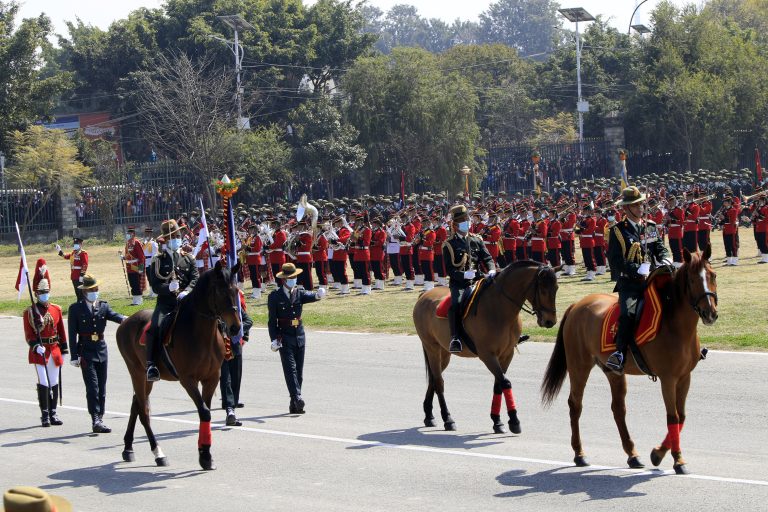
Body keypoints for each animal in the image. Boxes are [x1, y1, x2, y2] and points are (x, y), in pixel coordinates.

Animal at [116, 262, 240, 470]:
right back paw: (158, 453)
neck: (201, 334)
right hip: (137, 372)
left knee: (136, 405)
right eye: (221, 292)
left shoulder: (212, 378)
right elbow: (204, 412)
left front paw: (205, 454)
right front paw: (205, 455)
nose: (236, 328)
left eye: (236, 290)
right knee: (143, 412)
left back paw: (128, 448)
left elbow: (205, 412)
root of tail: (125, 322)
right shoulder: (187, 380)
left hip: (146, 379)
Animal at [414, 262, 560, 434]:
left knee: (433, 378)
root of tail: (425, 294)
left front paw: (497, 421)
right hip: (432, 348)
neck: (500, 309)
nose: (550, 321)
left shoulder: (507, 354)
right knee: (438, 381)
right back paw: (447, 419)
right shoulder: (487, 355)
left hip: (444, 353)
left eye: (556, 288)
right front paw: (514, 421)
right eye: (543, 289)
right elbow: (505, 383)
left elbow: (498, 384)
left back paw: (429, 415)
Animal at [544, 246, 716, 474]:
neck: (675, 325)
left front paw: (660, 454)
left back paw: (632, 455)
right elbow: (673, 417)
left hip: (613, 372)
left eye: (713, 276)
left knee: (618, 409)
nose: (710, 313)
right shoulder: (668, 378)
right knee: (575, 405)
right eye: (693, 280)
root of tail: (577, 305)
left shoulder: (685, 377)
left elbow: (682, 416)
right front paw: (675, 459)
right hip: (579, 366)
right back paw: (579, 454)